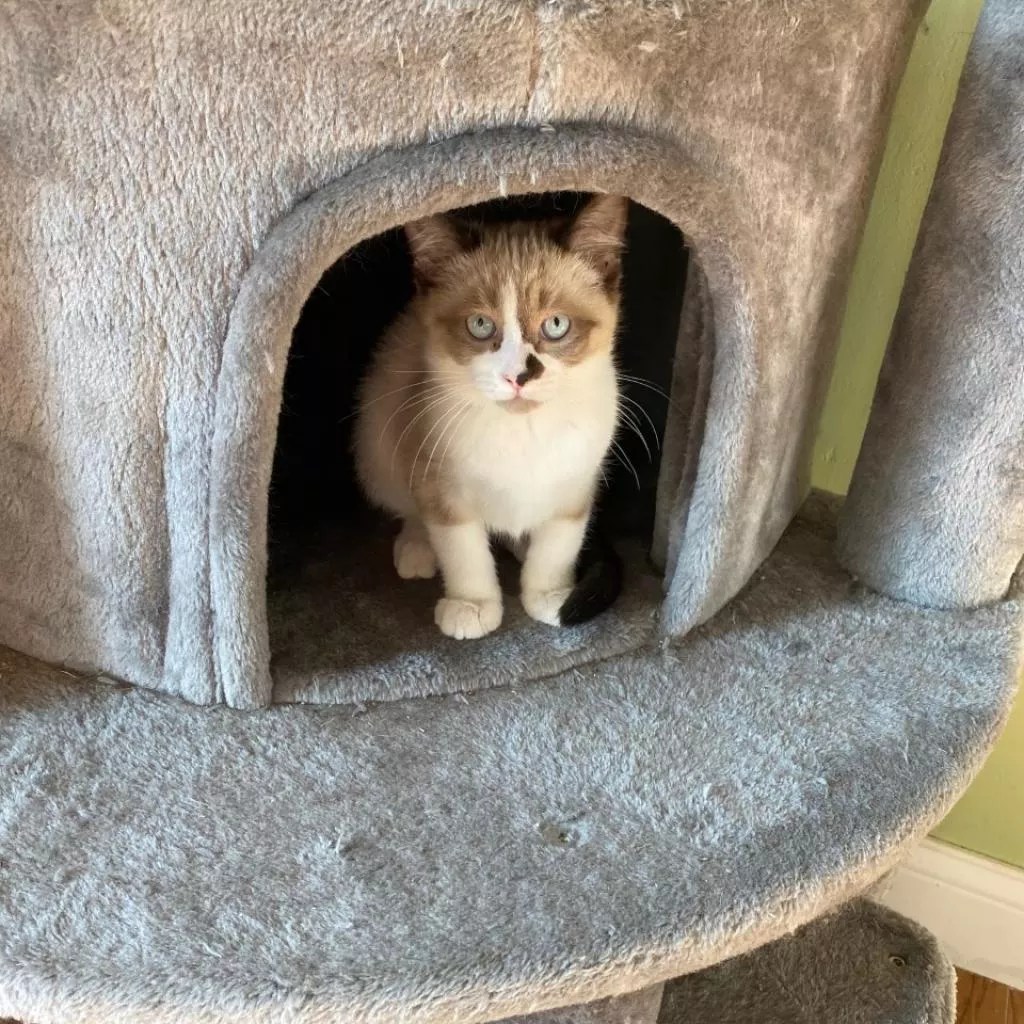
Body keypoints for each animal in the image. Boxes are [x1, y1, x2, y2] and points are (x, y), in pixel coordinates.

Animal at [353, 194, 628, 640]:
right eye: (480, 325)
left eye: (556, 325)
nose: (518, 376)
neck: (523, 432)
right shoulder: (442, 485)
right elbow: (464, 551)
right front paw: (472, 606)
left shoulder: (575, 486)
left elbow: (558, 546)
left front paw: (551, 595)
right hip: (380, 436)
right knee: (408, 507)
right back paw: (416, 548)